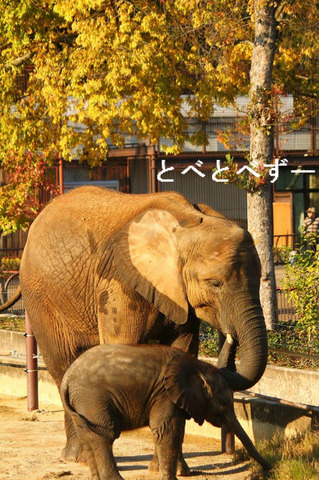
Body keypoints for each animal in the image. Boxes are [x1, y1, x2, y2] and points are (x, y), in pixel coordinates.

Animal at [1, 188, 268, 464]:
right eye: (215, 283)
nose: (230, 335)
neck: (186, 222)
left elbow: (182, 353)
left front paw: (175, 466)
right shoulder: (120, 282)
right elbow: (124, 349)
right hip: (42, 297)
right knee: (62, 364)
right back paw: (79, 458)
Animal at [61, 344, 272, 480]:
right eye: (225, 401)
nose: (269, 469)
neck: (195, 366)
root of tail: (67, 379)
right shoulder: (165, 395)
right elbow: (168, 430)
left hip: (82, 403)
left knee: (88, 437)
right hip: (93, 399)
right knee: (104, 435)